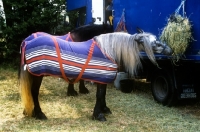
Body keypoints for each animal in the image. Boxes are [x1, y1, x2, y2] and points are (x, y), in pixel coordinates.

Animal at [18, 31, 172, 120]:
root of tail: (27, 41)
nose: (170, 50)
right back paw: (39, 114)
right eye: (155, 43)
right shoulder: (101, 78)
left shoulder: (102, 79)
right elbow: (100, 95)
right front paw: (98, 114)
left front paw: (104, 109)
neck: (108, 50)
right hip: (38, 75)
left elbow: (102, 95)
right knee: (34, 93)